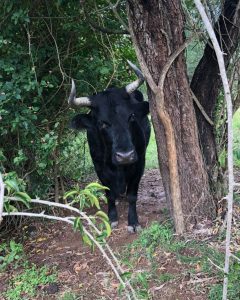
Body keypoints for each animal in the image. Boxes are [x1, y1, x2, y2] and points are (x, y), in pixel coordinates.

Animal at [68, 61, 150, 232]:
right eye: (103, 123)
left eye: (131, 116)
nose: (125, 156)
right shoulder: (99, 167)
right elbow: (109, 194)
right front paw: (112, 217)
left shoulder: (139, 163)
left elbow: (133, 195)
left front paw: (133, 222)